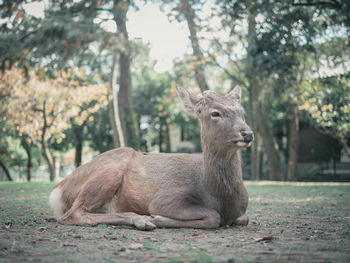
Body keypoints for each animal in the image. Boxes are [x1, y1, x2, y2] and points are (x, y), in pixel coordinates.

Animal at [47, 87, 254, 231]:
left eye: (243, 112)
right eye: (215, 113)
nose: (248, 133)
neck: (220, 197)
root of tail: (58, 190)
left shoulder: (241, 212)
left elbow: (244, 218)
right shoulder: (166, 198)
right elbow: (213, 216)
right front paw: (154, 217)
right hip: (108, 172)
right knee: (72, 214)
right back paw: (141, 220)